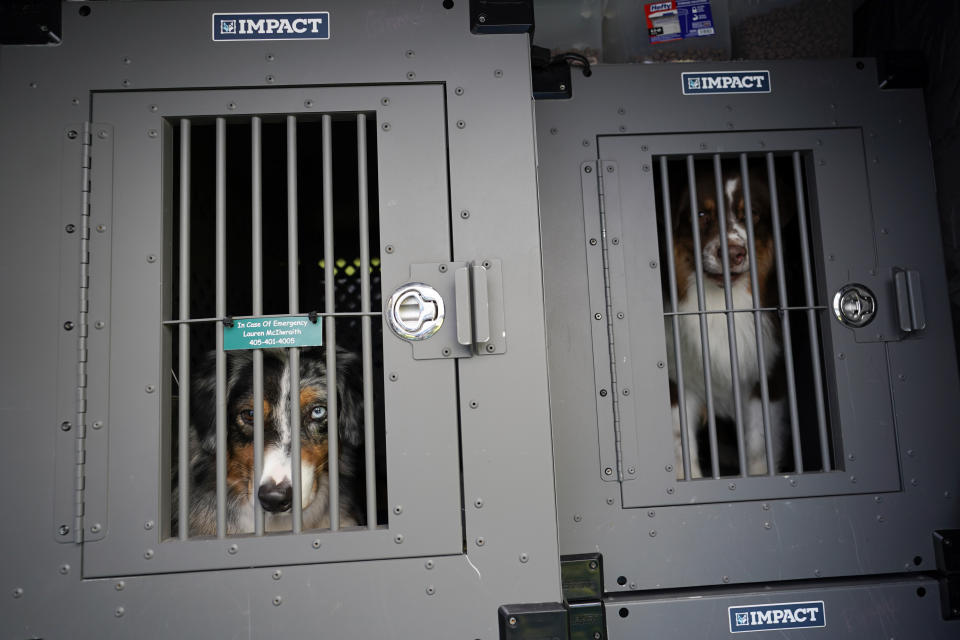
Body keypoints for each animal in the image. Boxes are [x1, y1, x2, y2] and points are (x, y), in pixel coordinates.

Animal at [668, 162, 788, 478]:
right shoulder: (677, 381)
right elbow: (681, 446)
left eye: (752, 214)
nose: (734, 254)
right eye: (701, 214)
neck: (720, 305)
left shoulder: (767, 376)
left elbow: (759, 445)